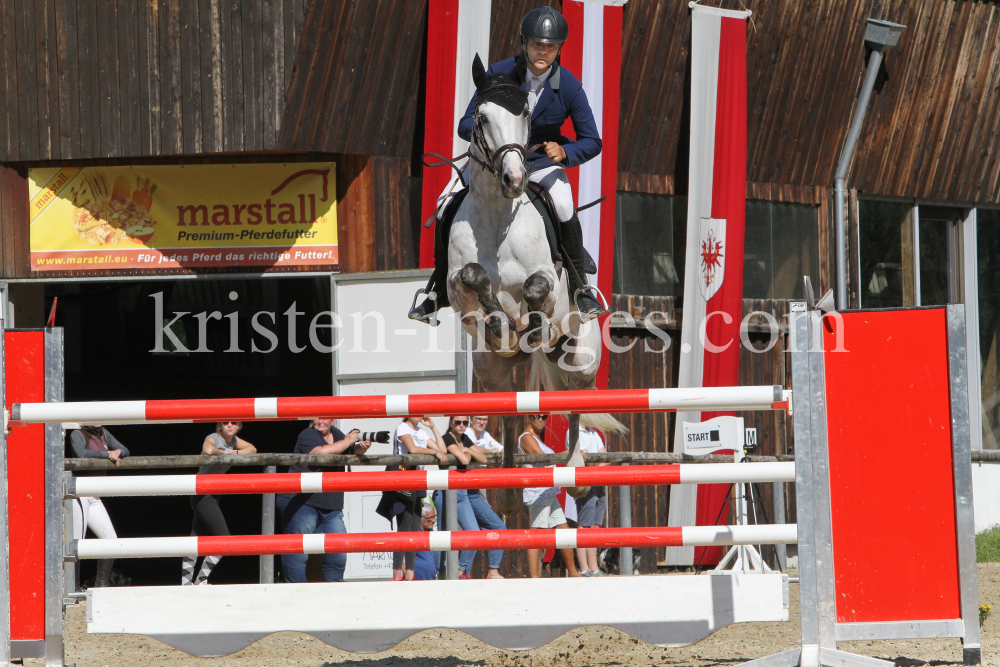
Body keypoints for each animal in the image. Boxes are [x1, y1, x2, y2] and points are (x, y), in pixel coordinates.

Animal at [444, 57, 620, 516]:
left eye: (524, 114)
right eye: (481, 118)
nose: (514, 179)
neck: (497, 215)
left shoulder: (548, 281)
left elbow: (537, 290)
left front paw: (530, 325)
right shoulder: (455, 289)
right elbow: (473, 278)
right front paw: (501, 327)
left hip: (582, 358)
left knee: (573, 402)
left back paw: (575, 473)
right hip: (490, 371)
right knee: (508, 409)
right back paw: (506, 489)